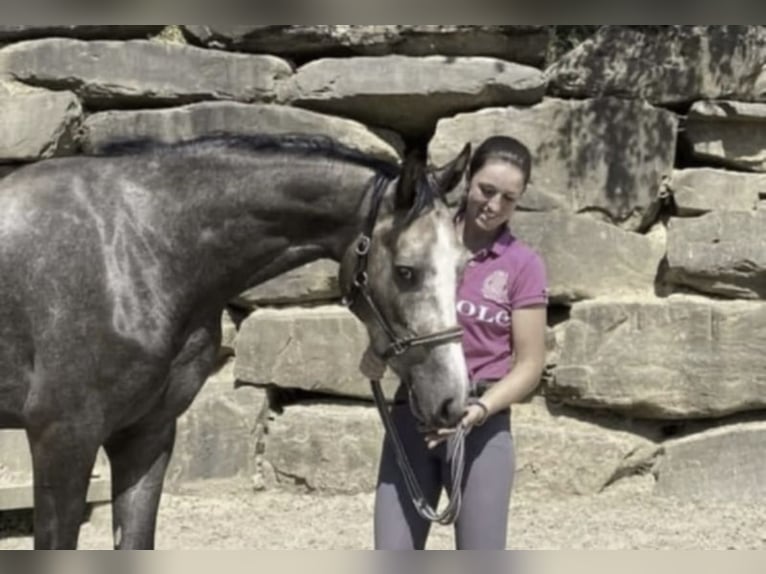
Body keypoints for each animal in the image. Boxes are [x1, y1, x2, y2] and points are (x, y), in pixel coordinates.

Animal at [0, 133, 472, 549]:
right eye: (406, 271)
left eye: (462, 266)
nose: (452, 400)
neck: (134, 249)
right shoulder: (63, 441)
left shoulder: (146, 435)